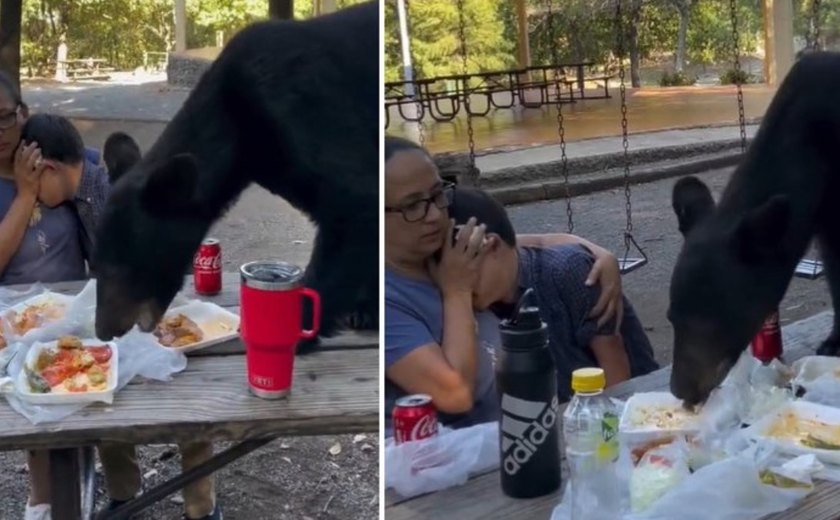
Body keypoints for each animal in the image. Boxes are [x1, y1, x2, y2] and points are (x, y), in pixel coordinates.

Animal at [92, 2, 378, 352]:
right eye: (95, 264)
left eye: (121, 268)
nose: (103, 330)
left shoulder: (304, 107)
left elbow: (356, 199)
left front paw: (296, 330)